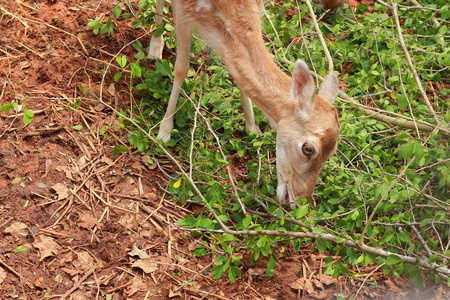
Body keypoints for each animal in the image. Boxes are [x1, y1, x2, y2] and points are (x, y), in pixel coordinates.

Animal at [148, 0, 342, 207]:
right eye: (308, 148)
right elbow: (181, 68)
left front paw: (253, 128)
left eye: (332, 153)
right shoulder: (185, 11)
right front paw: (164, 131)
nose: (301, 201)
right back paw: (155, 48)